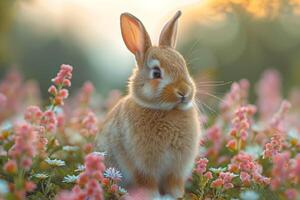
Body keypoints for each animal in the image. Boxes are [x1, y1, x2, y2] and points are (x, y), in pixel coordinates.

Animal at [95, 10, 200, 198]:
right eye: (156, 73)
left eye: (184, 67)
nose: (184, 92)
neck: (166, 110)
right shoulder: (143, 168)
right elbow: (147, 184)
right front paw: (154, 197)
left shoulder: (176, 170)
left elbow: (174, 184)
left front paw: (177, 196)